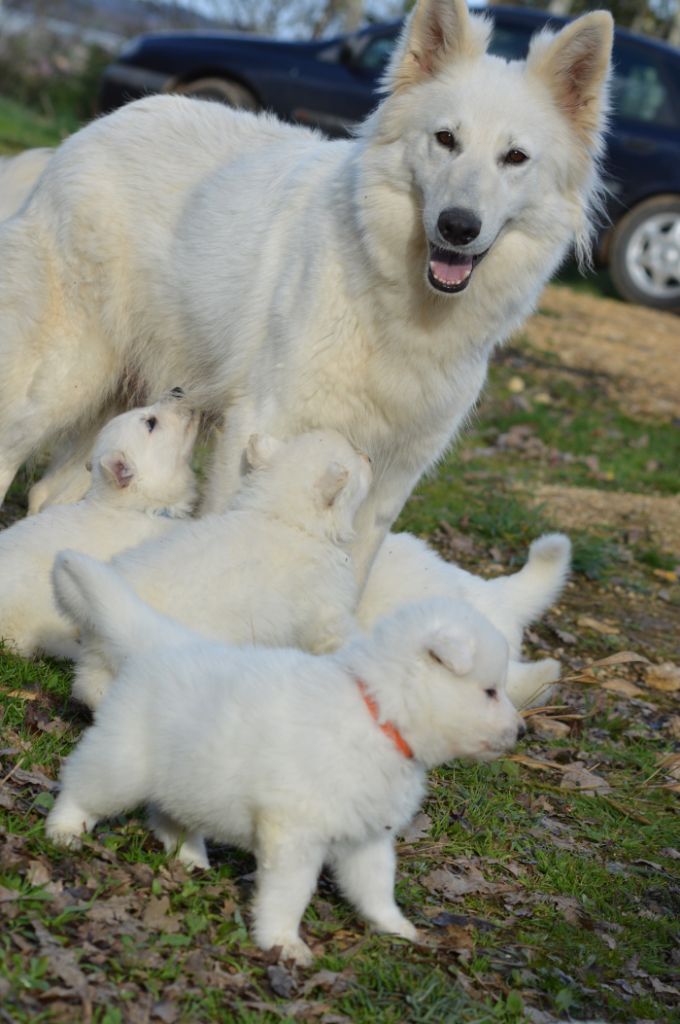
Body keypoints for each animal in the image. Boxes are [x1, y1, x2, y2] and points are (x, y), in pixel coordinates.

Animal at [0, 0, 610, 581]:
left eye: (515, 158)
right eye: (445, 140)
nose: (458, 226)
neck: (397, 303)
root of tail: (93, 128)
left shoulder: (391, 480)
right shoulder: (259, 426)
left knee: (50, 494)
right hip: (67, 376)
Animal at [47, 548, 522, 962]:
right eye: (490, 691)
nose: (520, 731)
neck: (377, 713)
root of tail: (162, 642)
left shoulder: (367, 834)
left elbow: (377, 885)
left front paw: (395, 926)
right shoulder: (295, 833)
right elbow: (290, 892)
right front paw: (281, 941)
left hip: (187, 773)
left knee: (169, 816)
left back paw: (191, 858)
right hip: (123, 761)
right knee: (82, 785)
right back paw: (64, 830)